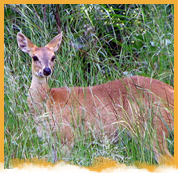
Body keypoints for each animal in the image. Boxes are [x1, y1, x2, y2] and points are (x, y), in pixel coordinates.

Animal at [16, 31, 174, 165]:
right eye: (34, 57)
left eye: (53, 57)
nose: (47, 70)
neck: (48, 102)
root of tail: (170, 91)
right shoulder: (51, 142)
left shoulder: (67, 136)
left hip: (154, 127)